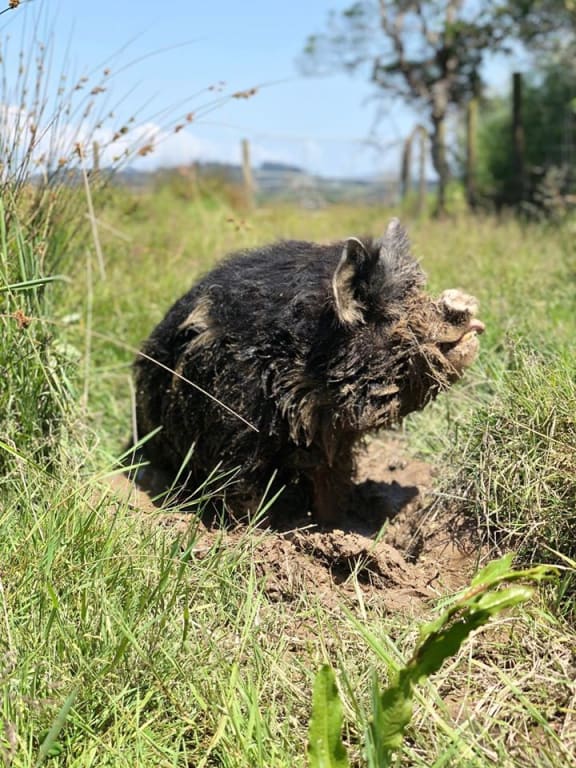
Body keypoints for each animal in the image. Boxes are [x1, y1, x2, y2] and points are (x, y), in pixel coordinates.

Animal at [132, 219, 484, 525]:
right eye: (390, 317)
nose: (464, 303)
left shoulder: (335, 443)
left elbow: (332, 485)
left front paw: (335, 523)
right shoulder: (231, 433)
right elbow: (241, 492)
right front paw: (261, 530)